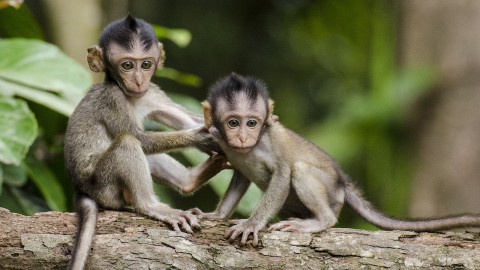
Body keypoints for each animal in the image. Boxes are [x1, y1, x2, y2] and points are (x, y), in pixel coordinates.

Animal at [64, 15, 226, 268]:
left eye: (146, 64)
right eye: (127, 65)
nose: (139, 81)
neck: (129, 95)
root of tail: (80, 188)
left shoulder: (152, 93)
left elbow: (186, 119)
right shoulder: (112, 99)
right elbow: (141, 138)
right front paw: (201, 137)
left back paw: (190, 181)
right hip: (104, 186)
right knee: (128, 142)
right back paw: (150, 205)